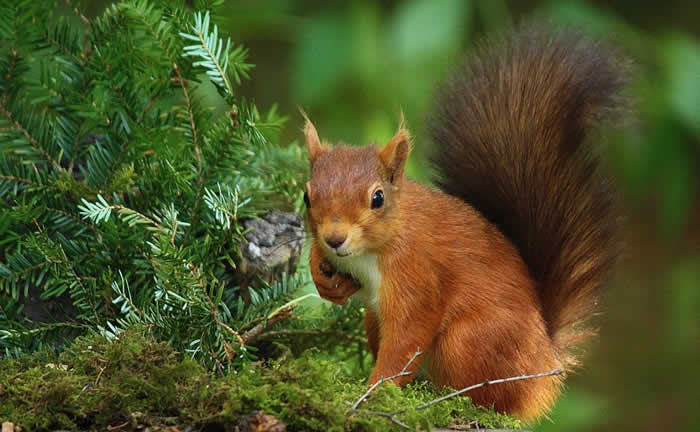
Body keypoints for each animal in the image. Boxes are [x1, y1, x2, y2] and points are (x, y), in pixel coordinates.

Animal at [300, 24, 624, 422]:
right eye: (306, 196)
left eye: (377, 198)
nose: (334, 238)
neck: (371, 250)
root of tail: (543, 367)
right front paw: (321, 274)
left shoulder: (417, 275)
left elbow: (406, 340)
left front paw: (371, 396)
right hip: (375, 321)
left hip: (468, 341)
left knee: (494, 401)